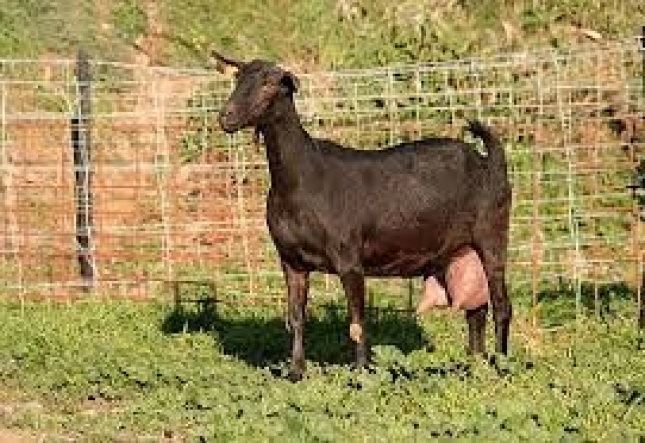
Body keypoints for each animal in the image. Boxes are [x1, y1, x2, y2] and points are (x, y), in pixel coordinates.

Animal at [215, 53, 512, 381]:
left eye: (269, 83)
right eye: (237, 78)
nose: (226, 116)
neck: (301, 179)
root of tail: (488, 162)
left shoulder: (349, 259)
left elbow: (356, 322)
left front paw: (360, 374)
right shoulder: (291, 261)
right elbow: (296, 317)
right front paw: (295, 372)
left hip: (492, 235)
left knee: (501, 305)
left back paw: (501, 365)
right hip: (461, 252)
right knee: (476, 310)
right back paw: (475, 365)